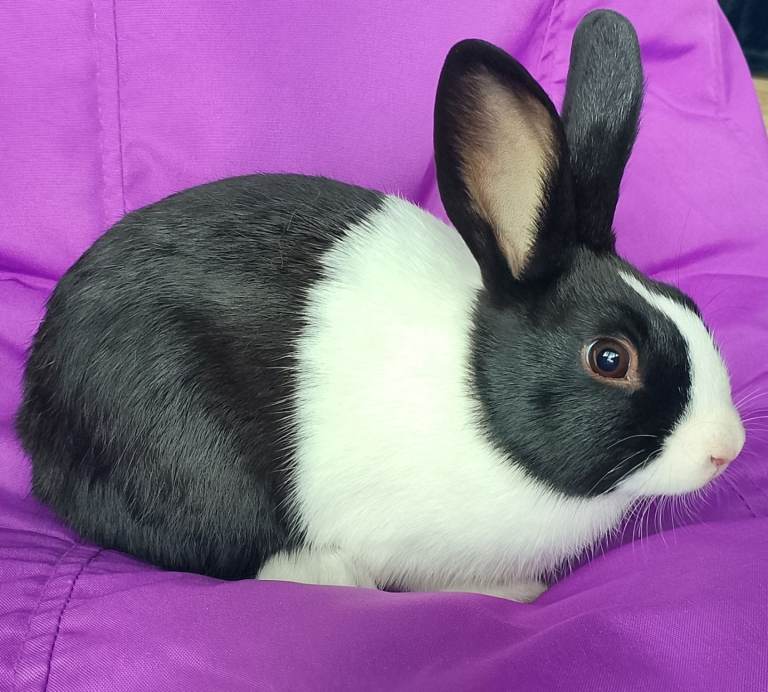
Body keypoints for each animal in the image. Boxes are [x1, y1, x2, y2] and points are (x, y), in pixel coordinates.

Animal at [16, 10, 745, 601]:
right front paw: (515, 591)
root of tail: (37, 411)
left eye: (689, 304)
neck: (478, 395)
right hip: (183, 447)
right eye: (609, 358)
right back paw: (325, 573)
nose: (728, 448)